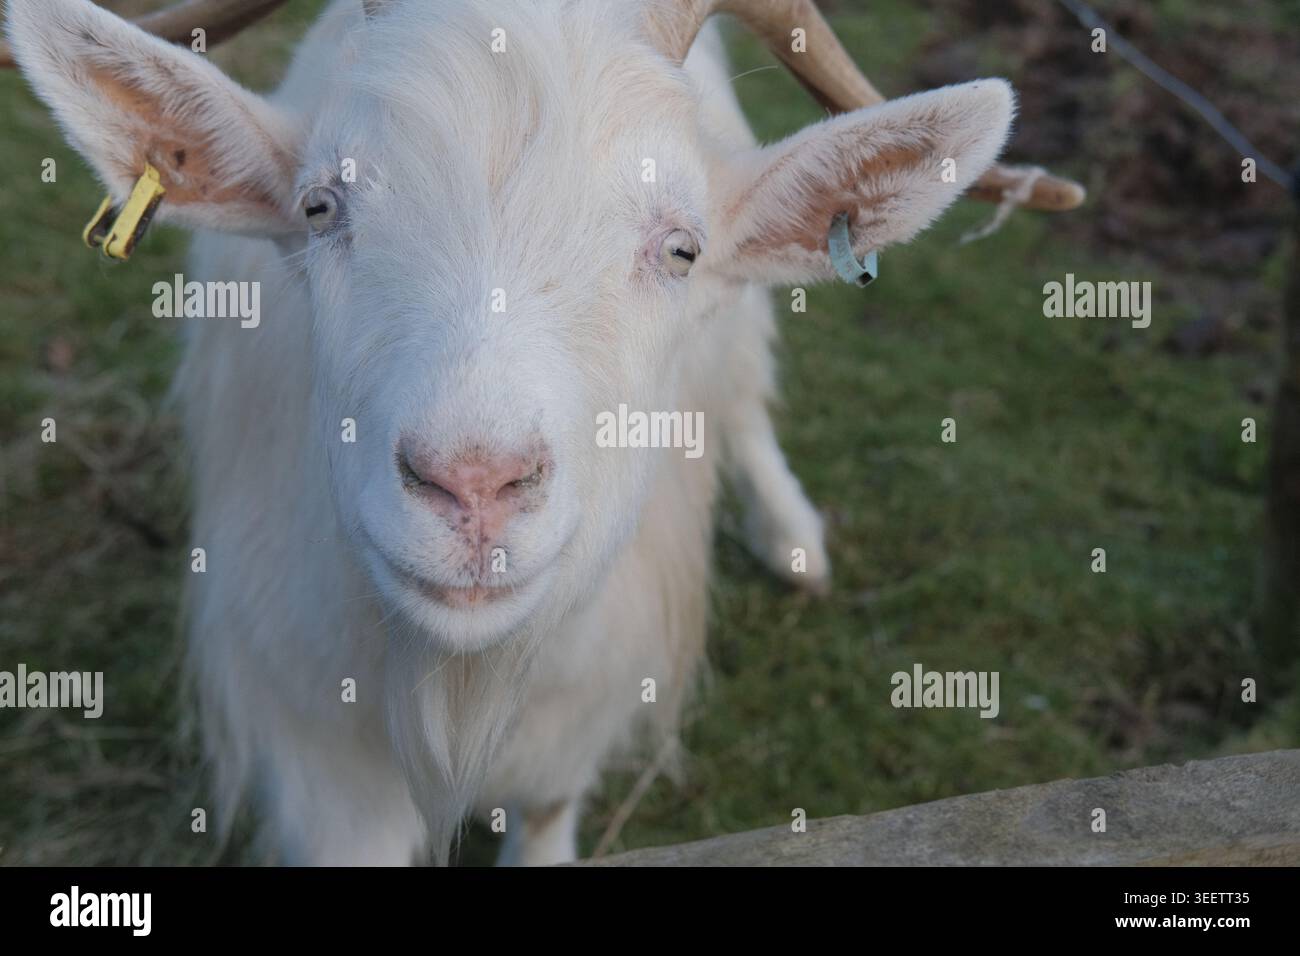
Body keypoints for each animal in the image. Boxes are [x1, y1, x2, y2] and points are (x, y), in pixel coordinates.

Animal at [5, 0, 1073, 865]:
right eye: (318, 207)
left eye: (681, 249)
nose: (474, 485)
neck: (460, 687)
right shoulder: (320, 757)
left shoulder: (581, 708)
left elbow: (552, 807)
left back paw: (792, 537)